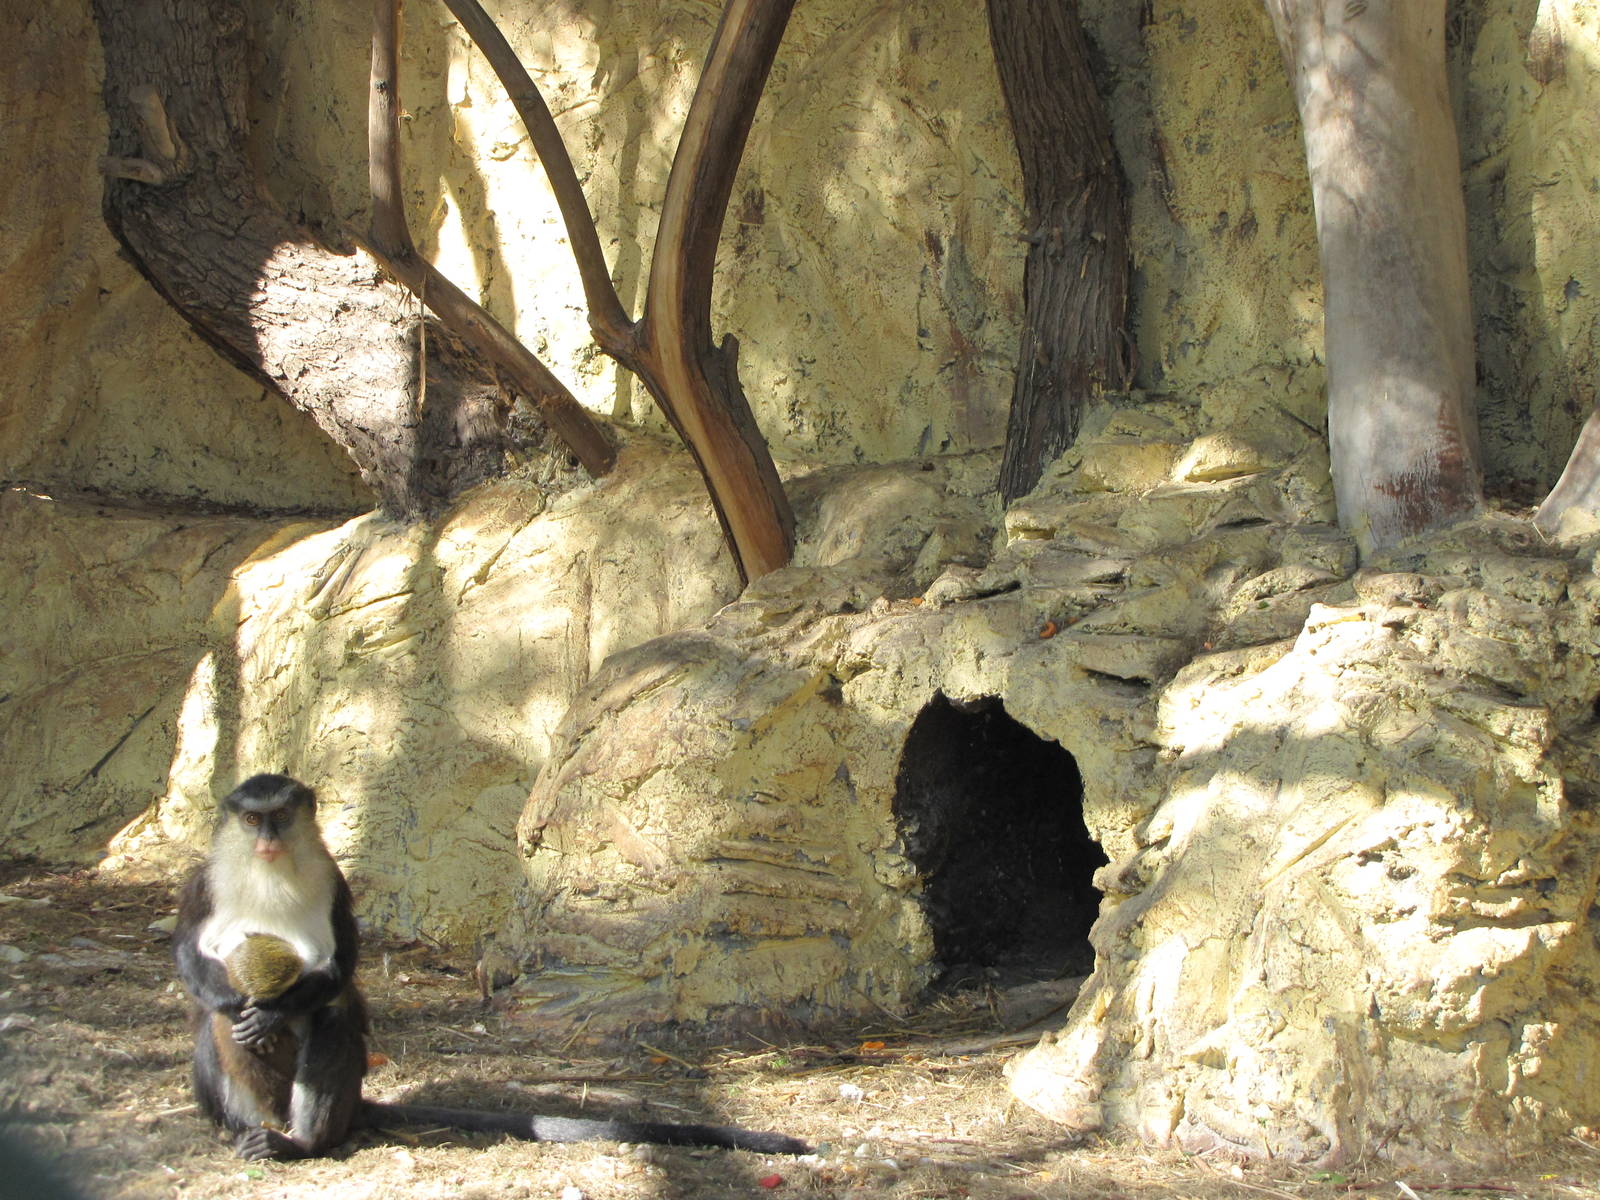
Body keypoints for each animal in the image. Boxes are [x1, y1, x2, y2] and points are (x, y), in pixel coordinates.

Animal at [174, 773, 809, 1161]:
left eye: (281, 814)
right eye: (252, 820)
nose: (268, 839)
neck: (270, 874)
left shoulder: (332, 882)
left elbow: (340, 965)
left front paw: (272, 1011)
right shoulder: (204, 883)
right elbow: (189, 952)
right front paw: (242, 1007)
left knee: (332, 1009)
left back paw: (301, 1141)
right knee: (218, 1026)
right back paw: (250, 1128)